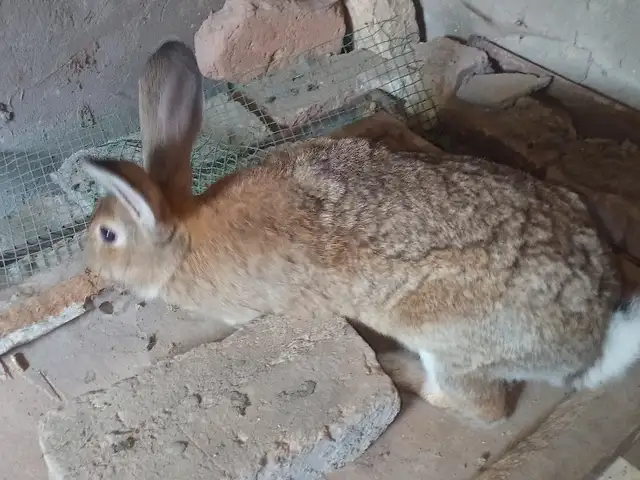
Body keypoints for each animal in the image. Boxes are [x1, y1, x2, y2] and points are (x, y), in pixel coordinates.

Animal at [81, 40, 640, 425]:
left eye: (107, 235)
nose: (93, 268)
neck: (182, 237)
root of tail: (589, 343)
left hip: (447, 342)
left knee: (482, 406)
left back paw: (398, 368)